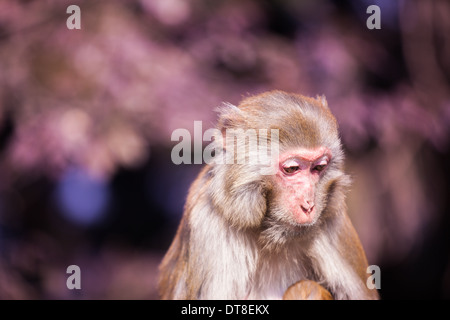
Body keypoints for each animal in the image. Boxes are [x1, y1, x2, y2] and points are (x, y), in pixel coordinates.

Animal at [158, 89, 380, 300]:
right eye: (292, 169)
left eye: (318, 168)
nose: (309, 205)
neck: (270, 233)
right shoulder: (206, 221)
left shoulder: (332, 219)